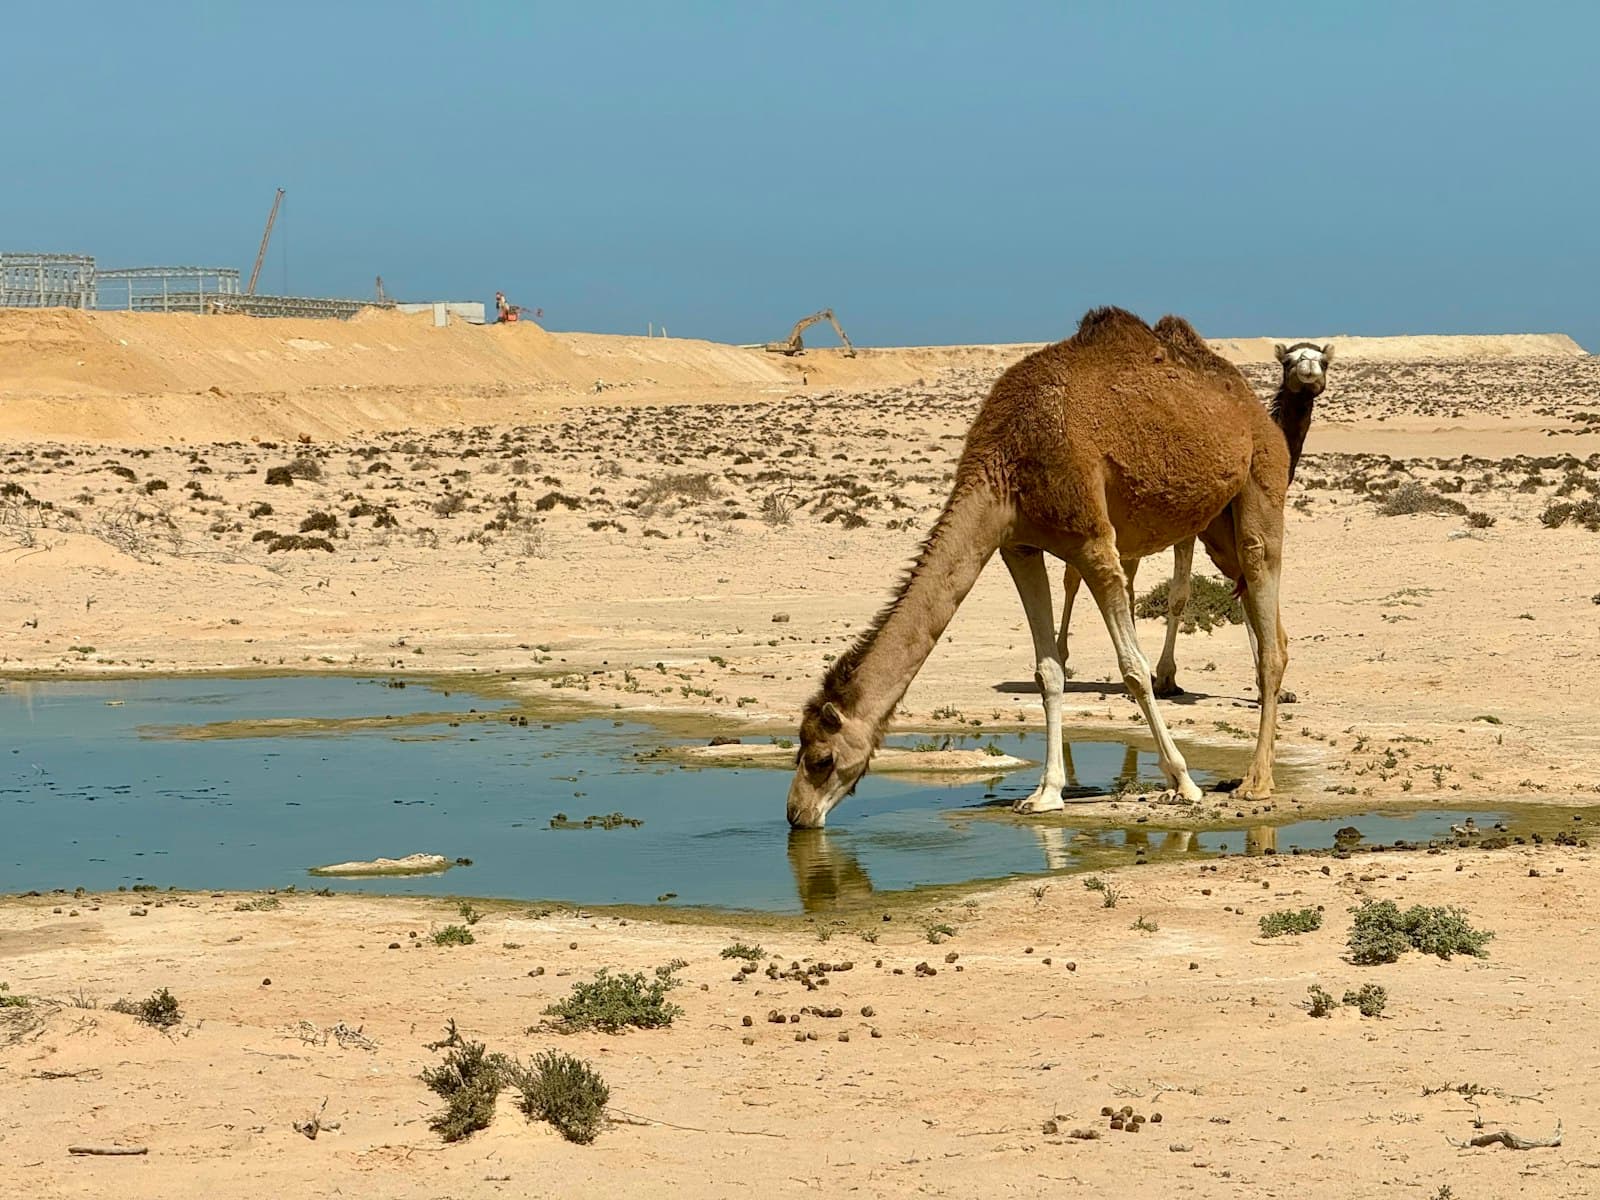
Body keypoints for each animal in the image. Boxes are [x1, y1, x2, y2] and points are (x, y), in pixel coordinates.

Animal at [788, 307, 1295, 828]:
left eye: (821, 758)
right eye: (799, 753)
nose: (796, 813)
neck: (1006, 461)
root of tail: (1253, 408)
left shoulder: (1094, 542)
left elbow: (1133, 669)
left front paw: (1183, 783)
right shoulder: (1018, 545)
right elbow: (1047, 670)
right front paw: (1045, 793)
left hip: (1261, 480)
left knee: (1267, 615)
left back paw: (1256, 783)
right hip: (1217, 526)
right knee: (1265, 620)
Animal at [1055, 340, 1334, 697]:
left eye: (1323, 361)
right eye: (1288, 361)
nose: (1308, 370)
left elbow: (1244, 592)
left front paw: (1271, 689)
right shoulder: (1193, 529)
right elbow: (1179, 596)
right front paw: (1166, 677)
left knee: (1123, 578)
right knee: (1073, 577)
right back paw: (1064, 661)